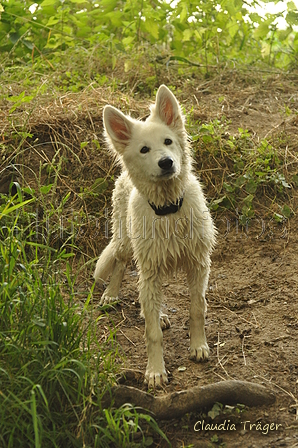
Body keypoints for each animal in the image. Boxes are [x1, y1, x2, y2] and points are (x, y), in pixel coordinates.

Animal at [94, 86, 215, 386]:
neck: (169, 210)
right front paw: (155, 371)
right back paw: (111, 294)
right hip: (127, 244)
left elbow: (197, 309)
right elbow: (152, 334)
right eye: (144, 150)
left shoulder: (199, 264)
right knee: (121, 264)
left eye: (168, 141)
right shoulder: (150, 268)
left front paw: (198, 346)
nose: (166, 162)